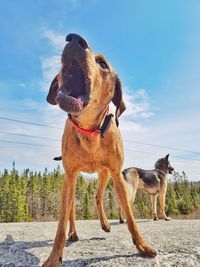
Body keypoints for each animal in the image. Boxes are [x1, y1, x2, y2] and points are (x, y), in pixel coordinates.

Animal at [43, 34, 156, 267]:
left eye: (103, 64)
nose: (74, 39)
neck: (89, 131)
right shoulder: (70, 174)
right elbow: (61, 223)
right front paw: (53, 257)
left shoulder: (116, 173)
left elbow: (130, 215)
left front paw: (142, 246)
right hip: (72, 180)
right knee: (71, 209)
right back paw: (73, 233)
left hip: (104, 175)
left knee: (96, 196)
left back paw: (104, 224)